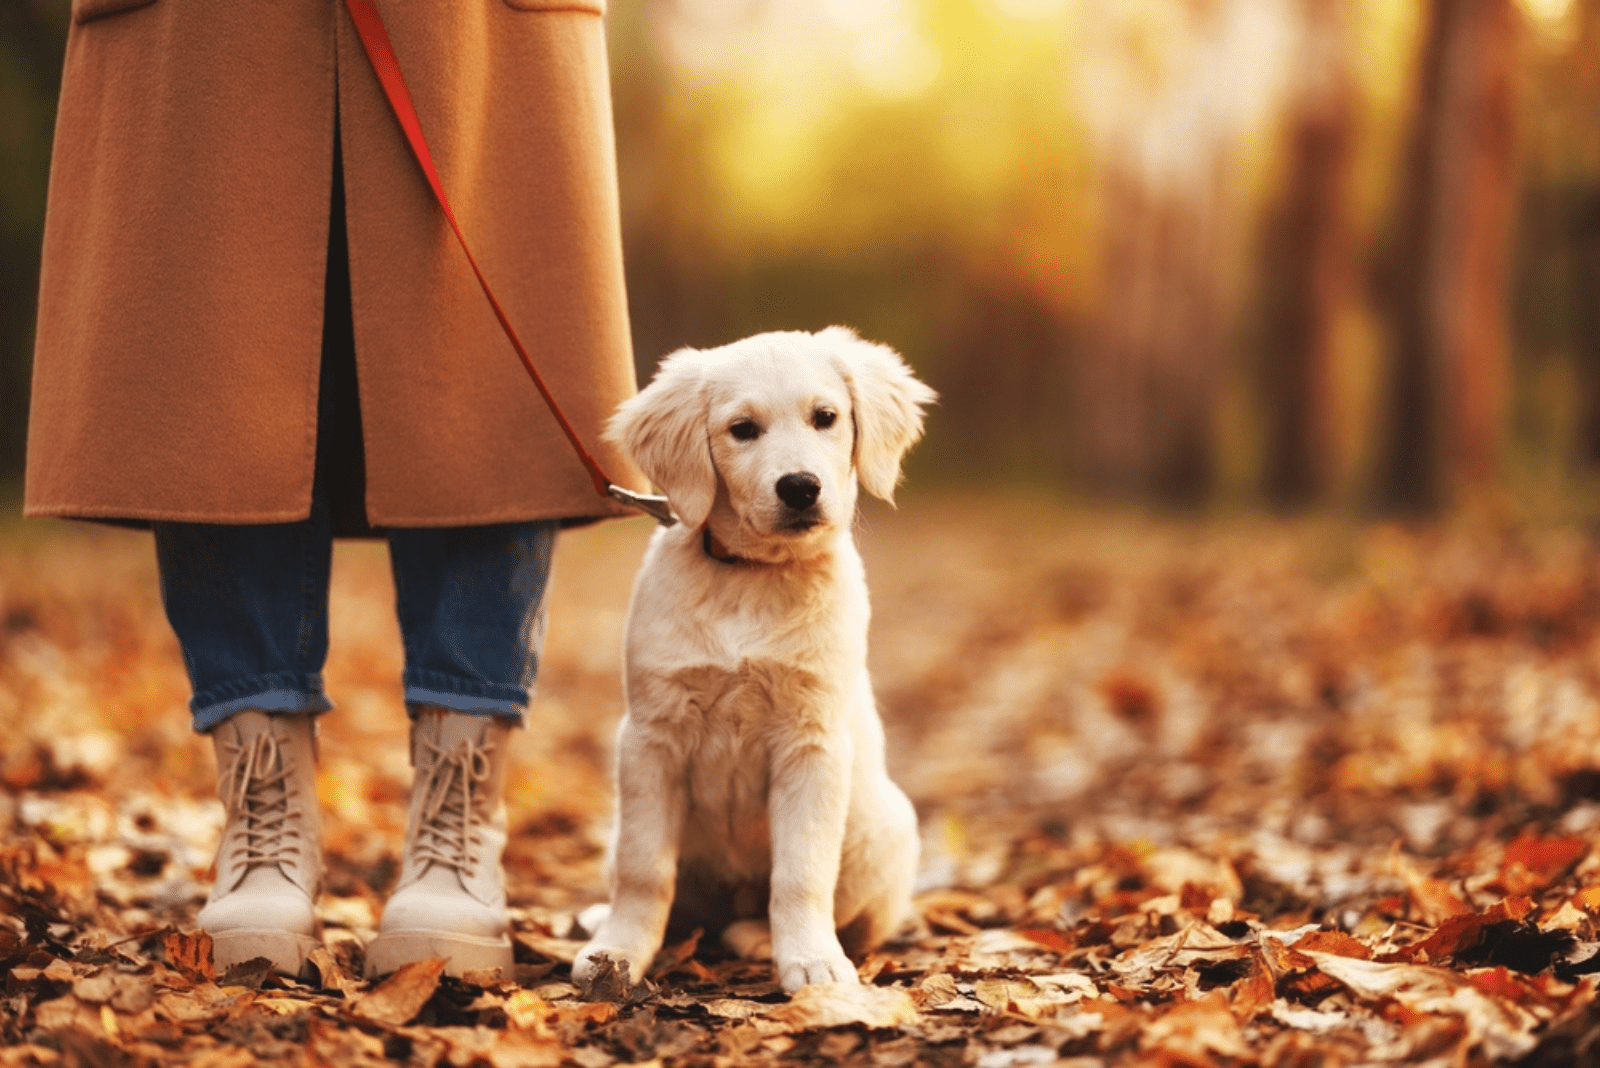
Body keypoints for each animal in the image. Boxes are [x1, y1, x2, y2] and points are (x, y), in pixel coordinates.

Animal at [572, 327, 934, 991]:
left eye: (826, 418)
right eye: (742, 429)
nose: (800, 486)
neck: (753, 576)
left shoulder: (812, 741)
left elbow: (801, 874)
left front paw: (813, 962)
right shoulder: (651, 737)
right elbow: (644, 869)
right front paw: (619, 951)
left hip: (886, 827)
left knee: (841, 916)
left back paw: (760, 939)